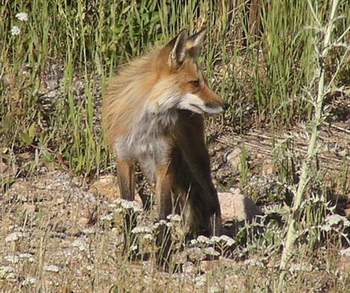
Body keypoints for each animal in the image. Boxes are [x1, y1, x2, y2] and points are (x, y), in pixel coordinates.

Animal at [101, 29, 224, 244]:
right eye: (194, 83)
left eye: (204, 82)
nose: (225, 104)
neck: (144, 129)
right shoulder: (124, 158)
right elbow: (128, 211)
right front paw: (129, 249)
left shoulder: (163, 163)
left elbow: (162, 217)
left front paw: (162, 252)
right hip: (151, 169)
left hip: (194, 161)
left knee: (211, 195)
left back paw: (215, 242)